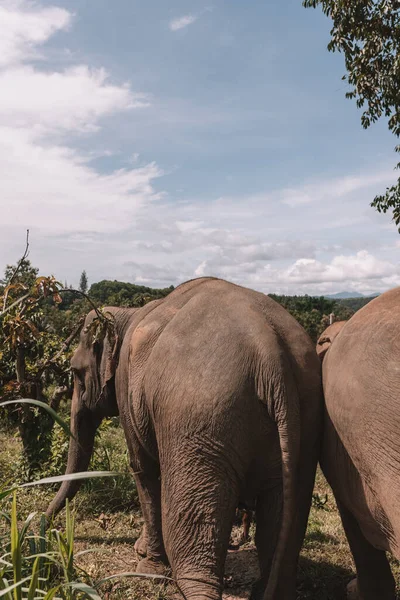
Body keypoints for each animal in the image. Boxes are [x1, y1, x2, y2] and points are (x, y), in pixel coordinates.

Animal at [47, 276, 322, 600]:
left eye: (75, 372)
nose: (44, 524)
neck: (126, 315)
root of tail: (270, 352)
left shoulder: (127, 389)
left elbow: (143, 469)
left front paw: (147, 567)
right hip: (305, 417)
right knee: (282, 512)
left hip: (201, 422)